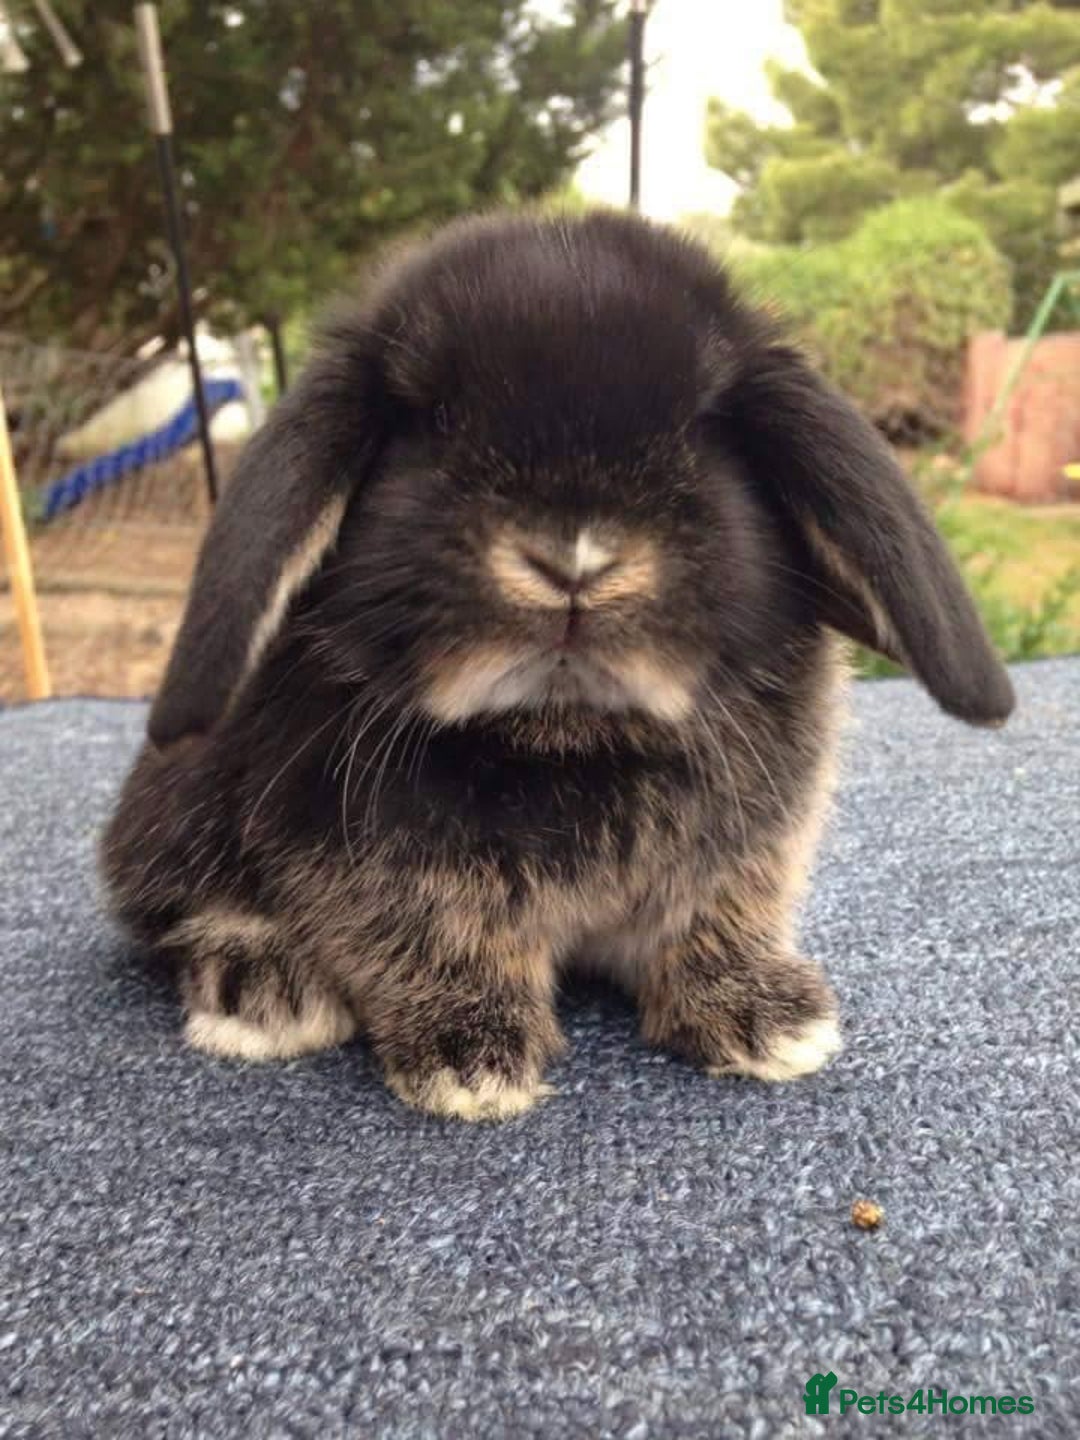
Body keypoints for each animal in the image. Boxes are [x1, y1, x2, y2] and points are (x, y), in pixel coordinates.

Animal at [101, 209, 1014, 1122]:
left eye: (707, 425)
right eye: (430, 425)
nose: (575, 560)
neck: (564, 734)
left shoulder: (743, 861)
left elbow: (714, 921)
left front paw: (768, 1020)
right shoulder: (363, 861)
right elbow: (432, 932)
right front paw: (469, 1059)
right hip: (179, 807)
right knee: (173, 904)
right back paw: (264, 989)